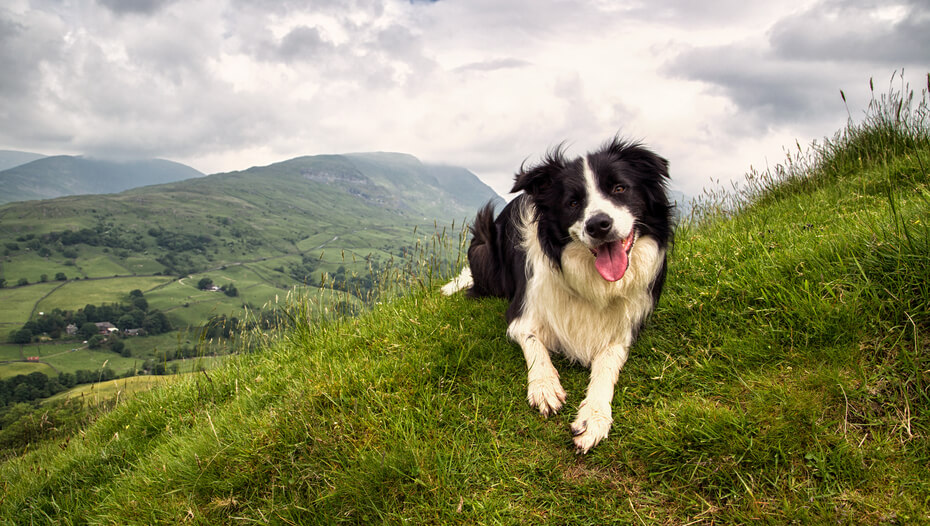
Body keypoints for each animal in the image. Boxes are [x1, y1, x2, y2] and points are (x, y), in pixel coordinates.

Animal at [440, 139, 668, 454]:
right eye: (572, 203)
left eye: (620, 188)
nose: (598, 225)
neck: (592, 281)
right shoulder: (521, 314)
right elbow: (534, 344)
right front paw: (544, 386)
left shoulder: (625, 329)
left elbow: (607, 364)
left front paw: (594, 416)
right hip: (484, 245)